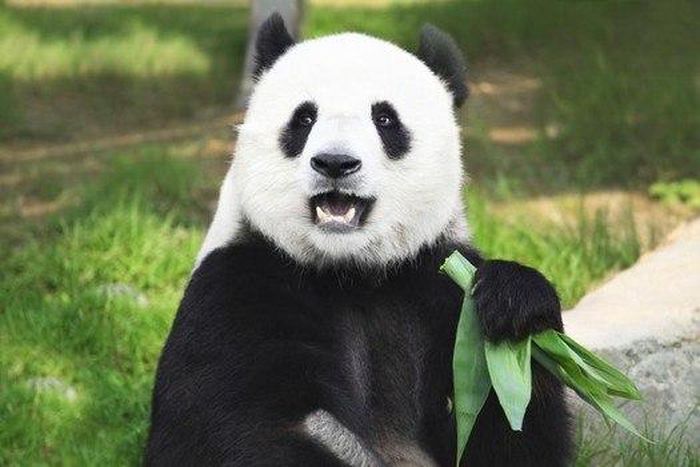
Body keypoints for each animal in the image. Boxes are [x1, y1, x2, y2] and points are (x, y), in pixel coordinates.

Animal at [145, 13, 572, 467]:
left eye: (384, 120)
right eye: (304, 119)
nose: (335, 163)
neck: (351, 272)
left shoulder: (436, 286)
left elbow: (511, 429)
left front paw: (513, 300)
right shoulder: (239, 289)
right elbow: (228, 432)